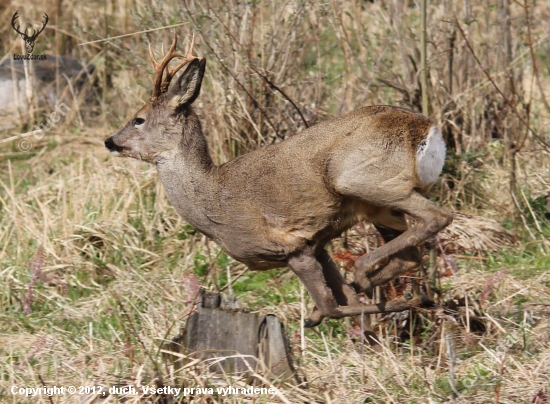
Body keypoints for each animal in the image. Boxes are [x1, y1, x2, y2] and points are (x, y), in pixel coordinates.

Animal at [106, 34, 452, 328]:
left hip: (363, 178)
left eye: (138, 119)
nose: (110, 141)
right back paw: (376, 282)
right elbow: (342, 300)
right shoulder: (315, 244)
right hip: (377, 206)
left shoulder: (291, 247)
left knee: (438, 217)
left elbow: (333, 306)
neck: (213, 203)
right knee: (409, 255)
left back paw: (371, 275)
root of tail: (427, 129)